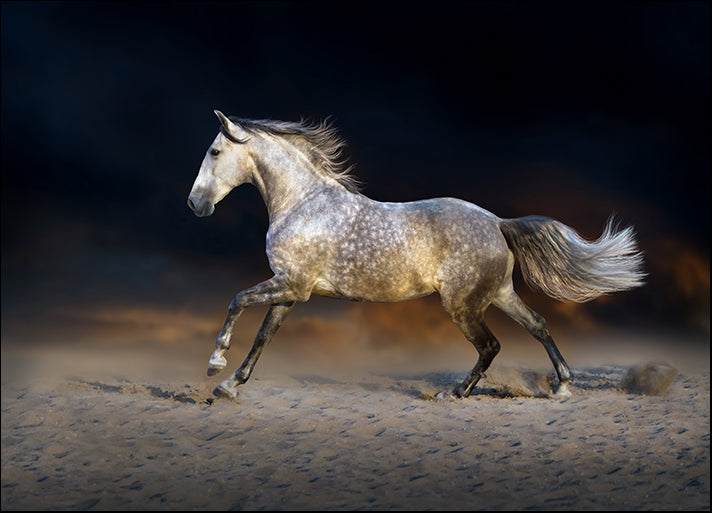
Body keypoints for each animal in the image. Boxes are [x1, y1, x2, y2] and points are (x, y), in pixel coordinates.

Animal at [187, 110, 645, 400]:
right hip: (498, 294)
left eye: (213, 152)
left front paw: (214, 364)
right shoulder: (291, 291)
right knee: (538, 325)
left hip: (463, 305)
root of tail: (498, 222)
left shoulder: (291, 285)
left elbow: (237, 301)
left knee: (491, 346)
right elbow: (263, 336)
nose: (195, 204)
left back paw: (453, 393)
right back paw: (563, 385)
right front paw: (229, 386)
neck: (303, 203)